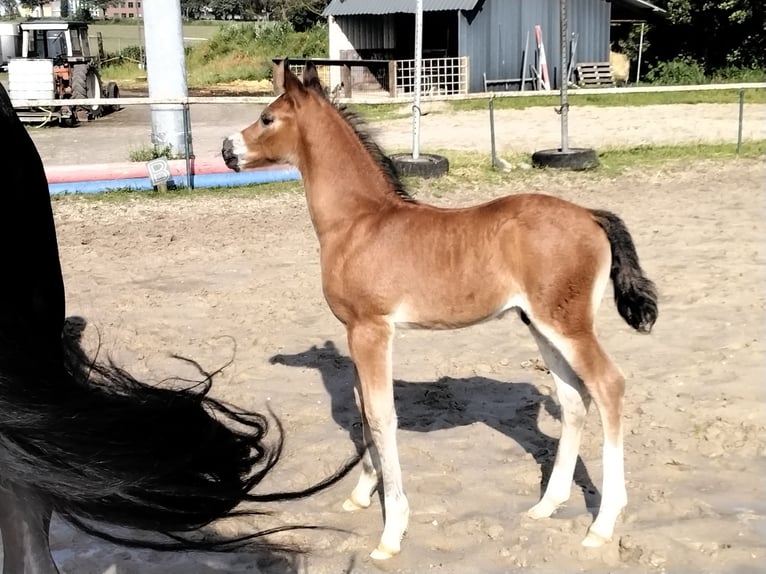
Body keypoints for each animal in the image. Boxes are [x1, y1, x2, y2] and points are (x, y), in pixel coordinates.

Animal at [224, 63, 660, 564]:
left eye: (267, 118)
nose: (227, 150)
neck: (359, 222)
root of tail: (590, 214)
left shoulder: (371, 329)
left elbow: (381, 416)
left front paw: (391, 531)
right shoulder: (354, 332)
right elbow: (362, 411)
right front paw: (361, 495)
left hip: (568, 325)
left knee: (608, 386)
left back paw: (602, 525)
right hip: (541, 326)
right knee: (573, 400)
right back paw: (547, 505)